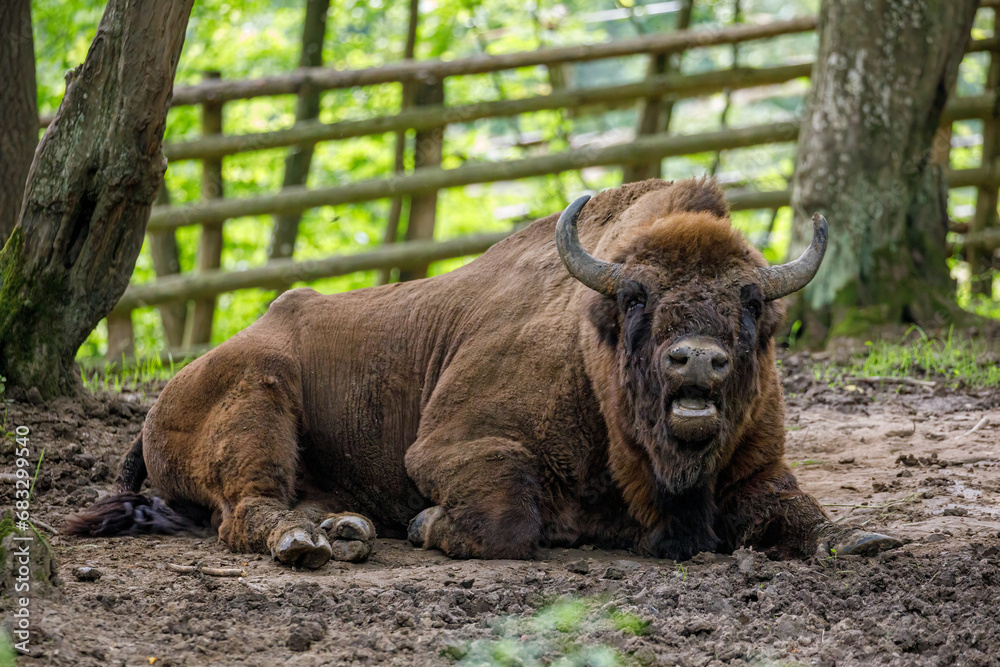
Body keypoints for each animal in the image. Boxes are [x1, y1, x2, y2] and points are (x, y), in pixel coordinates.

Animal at [69, 178, 899, 567]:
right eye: (636, 296)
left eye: (751, 299)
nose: (696, 356)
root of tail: (162, 400)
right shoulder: (448, 445)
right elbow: (508, 517)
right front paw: (429, 524)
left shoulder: (760, 470)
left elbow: (801, 513)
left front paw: (864, 539)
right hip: (258, 398)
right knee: (248, 507)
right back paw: (312, 541)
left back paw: (345, 526)